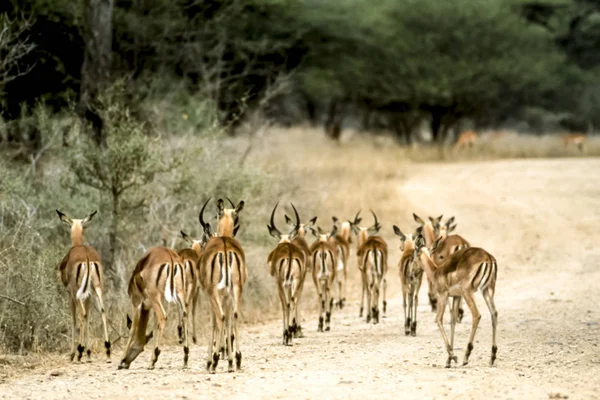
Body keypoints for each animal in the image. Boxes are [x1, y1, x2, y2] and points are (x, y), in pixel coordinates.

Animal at [55, 211, 110, 364]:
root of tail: (86, 256)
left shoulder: (70, 293)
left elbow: (74, 319)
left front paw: (73, 354)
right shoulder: (89, 294)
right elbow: (89, 317)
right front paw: (89, 353)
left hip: (77, 292)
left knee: (82, 314)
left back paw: (79, 353)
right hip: (97, 289)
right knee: (102, 311)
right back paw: (108, 351)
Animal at [196, 198, 245, 374]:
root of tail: (224, 249)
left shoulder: (210, 296)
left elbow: (214, 323)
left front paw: (210, 361)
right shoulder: (227, 296)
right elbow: (229, 320)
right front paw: (230, 360)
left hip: (214, 292)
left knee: (221, 317)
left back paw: (215, 361)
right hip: (236, 290)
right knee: (234, 315)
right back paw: (237, 359)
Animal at [266, 202, 304, 346]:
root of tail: (290, 253)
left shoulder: (280, 284)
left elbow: (283, 305)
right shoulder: (290, 284)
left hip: (282, 283)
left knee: (286, 304)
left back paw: (287, 336)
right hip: (296, 282)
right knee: (293, 300)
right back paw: (292, 333)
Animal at [414, 238, 500, 368]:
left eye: (413, 255)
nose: (413, 272)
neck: (436, 272)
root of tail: (488, 257)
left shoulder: (443, 295)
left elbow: (439, 319)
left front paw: (453, 356)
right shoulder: (456, 296)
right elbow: (453, 321)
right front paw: (449, 360)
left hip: (468, 292)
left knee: (477, 315)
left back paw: (466, 357)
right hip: (487, 290)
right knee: (494, 313)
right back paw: (492, 357)